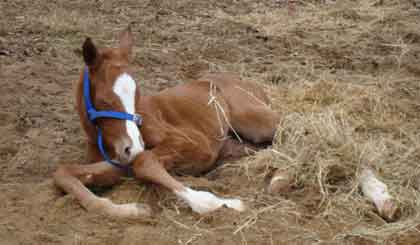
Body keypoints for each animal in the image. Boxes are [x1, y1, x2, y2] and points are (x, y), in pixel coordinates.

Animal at [54, 27, 280, 218]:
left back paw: (279, 180)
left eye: (137, 94)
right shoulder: (120, 164)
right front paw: (133, 210)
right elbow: (63, 172)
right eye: (103, 100)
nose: (133, 147)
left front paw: (217, 202)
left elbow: (143, 161)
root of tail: (249, 83)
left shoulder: (196, 143)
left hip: (257, 121)